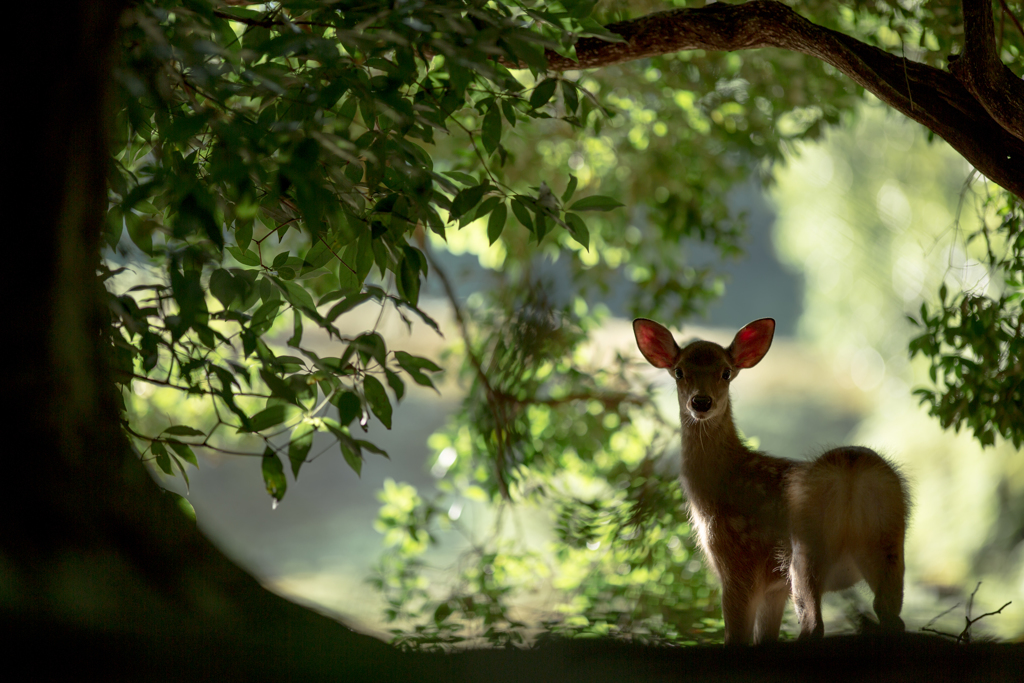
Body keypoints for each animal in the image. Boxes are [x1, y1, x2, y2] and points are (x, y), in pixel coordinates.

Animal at [630, 317, 913, 643]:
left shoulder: (738, 565)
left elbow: (738, 639)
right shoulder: (774, 589)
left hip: (804, 551)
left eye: (726, 372)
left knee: (813, 625)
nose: (701, 402)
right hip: (890, 546)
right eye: (679, 371)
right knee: (893, 619)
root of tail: (851, 470)